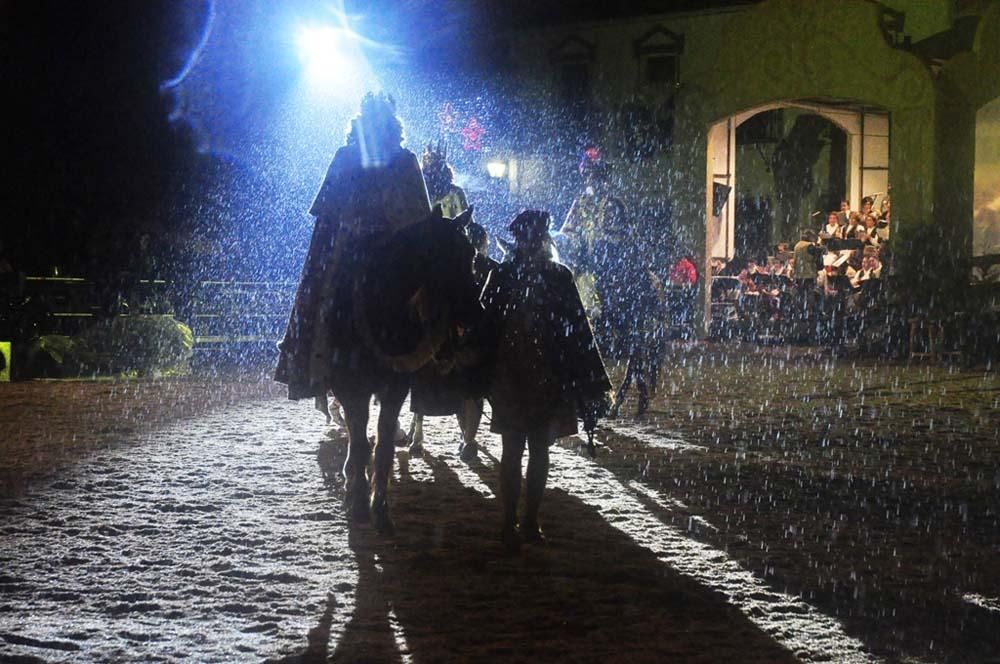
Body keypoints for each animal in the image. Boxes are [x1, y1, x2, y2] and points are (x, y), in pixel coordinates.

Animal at [332, 205, 480, 532]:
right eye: (448, 256)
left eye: (471, 254)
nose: (477, 313)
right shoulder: (353, 387)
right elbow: (359, 443)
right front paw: (357, 502)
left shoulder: (395, 387)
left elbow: (384, 446)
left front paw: (380, 508)